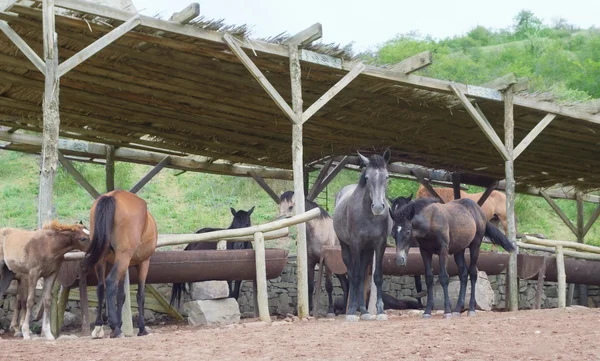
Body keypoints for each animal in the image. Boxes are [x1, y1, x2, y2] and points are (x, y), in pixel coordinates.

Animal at [86, 190, 158, 338]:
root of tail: (112, 196)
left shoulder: (125, 266)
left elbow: (121, 296)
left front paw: (119, 323)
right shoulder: (143, 263)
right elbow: (140, 295)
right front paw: (142, 329)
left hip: (103, 260)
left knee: (101, 287)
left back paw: (99, 327)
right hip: (123, 258)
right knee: (110, 282)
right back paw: (115, 329)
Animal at [332, 149, 394, 320]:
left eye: (387, 177)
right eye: (367, 178)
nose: (378, 207)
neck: (369, 216)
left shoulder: (380, 245)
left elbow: (377, 276)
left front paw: (380, 311)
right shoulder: (355, 245)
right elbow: (356, 277)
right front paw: (352, 311)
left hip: (367, 251)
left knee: (361, 274)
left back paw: (364, 311)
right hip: (346, 247)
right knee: (353, 274)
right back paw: (353, 309)